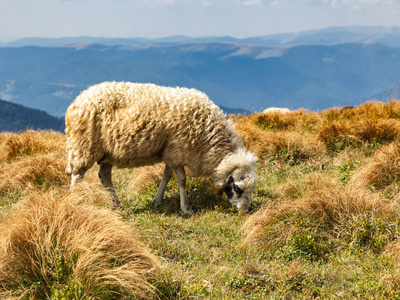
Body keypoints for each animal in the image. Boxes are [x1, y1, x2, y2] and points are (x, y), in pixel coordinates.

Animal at [64, 81, 258, 214]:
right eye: (237, 188)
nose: (243, 211)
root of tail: (78, 99)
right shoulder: (178, 151)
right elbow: (182, 180)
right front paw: (186, 209)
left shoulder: (170, 153)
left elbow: (167, 175)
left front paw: (158, 200)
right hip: (84, 145)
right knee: (77, 176)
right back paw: (75, 202)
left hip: (108, 152)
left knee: (104, 176)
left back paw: (115, 204)